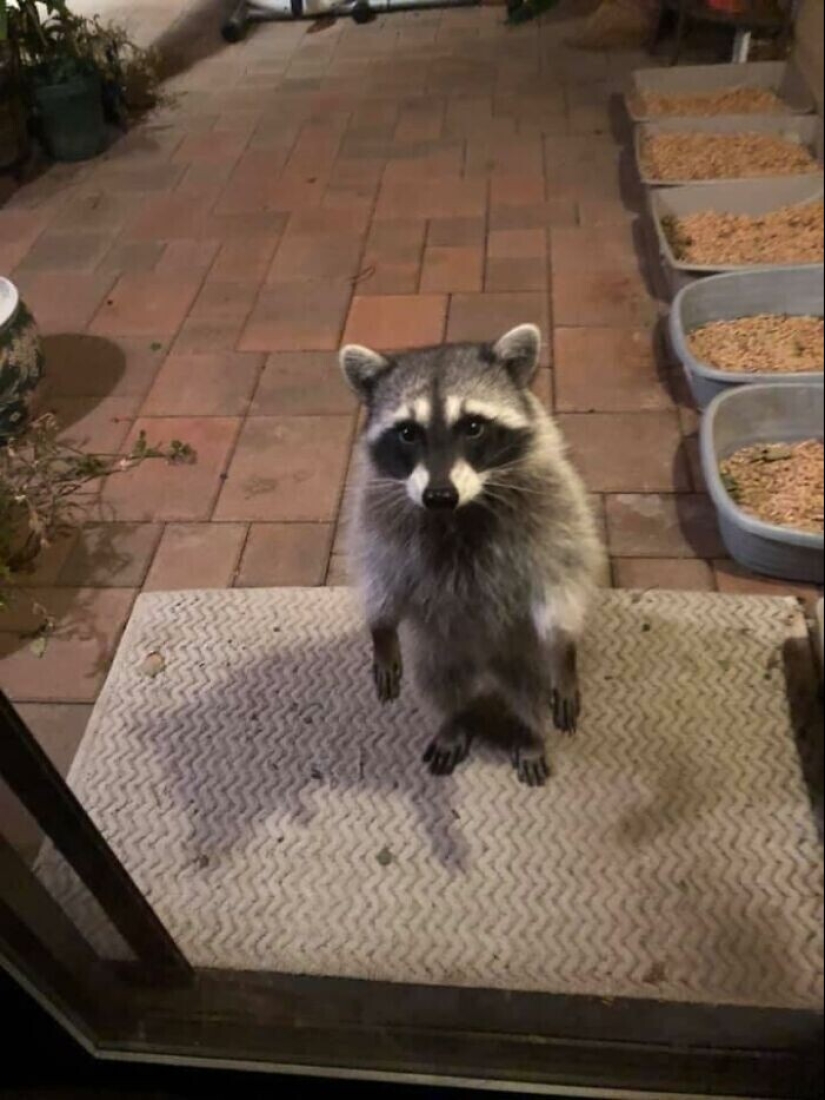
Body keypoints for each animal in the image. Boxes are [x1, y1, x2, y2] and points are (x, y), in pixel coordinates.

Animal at [339, 324, 602, 786]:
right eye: (408, 432)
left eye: (474, 426)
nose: (439, 496)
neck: (459, 512)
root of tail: (485, 669)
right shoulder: (377, 512)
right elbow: (379, 574)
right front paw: (381, 630)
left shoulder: (554, 504)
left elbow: (562, 576)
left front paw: (565, 652)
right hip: (436, 649)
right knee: (438, 686)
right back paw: (451, 724)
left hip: (522, 651)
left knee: (530, 691)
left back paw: (529, 733)